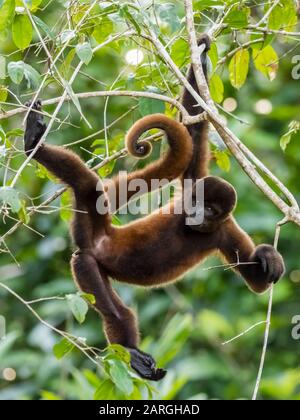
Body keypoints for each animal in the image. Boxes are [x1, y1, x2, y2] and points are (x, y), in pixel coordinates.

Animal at [22, 34, 284, 380]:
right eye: (197, 203)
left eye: (211, 211)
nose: (196, 215)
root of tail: (101, 239)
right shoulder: (190, 188)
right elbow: (192, 133)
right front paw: (200, 61)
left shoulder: (226, 229)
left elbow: (256, 283)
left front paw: (269, 257)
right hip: (88, 238)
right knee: (86, 188)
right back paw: (32, 142)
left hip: (91, 252)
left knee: (116, 304)